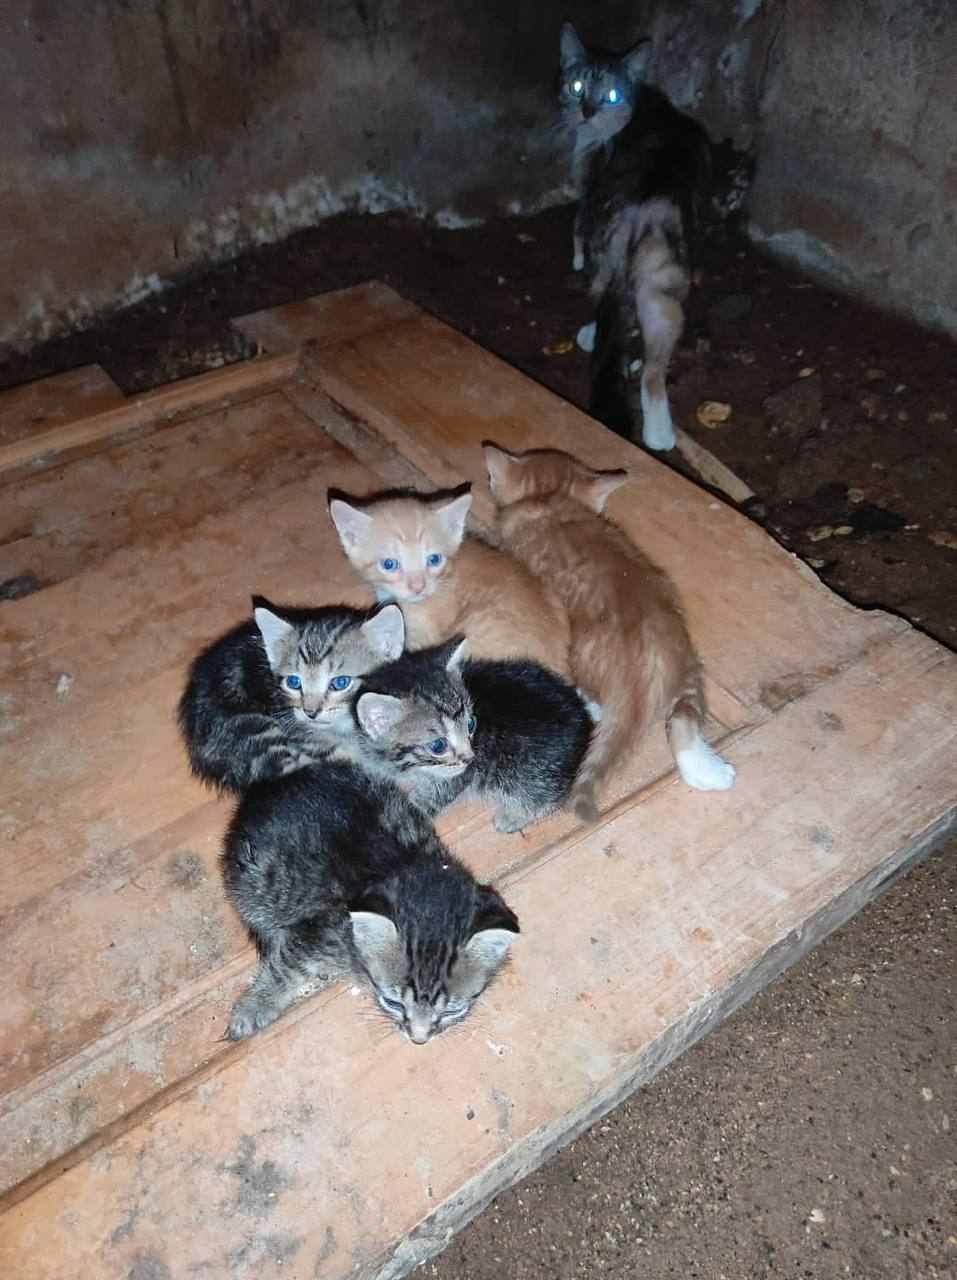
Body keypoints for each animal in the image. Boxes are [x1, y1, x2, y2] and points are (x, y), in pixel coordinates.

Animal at [222, 760, 519, 1043]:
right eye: (392, 1002)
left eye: (452, 1011)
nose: (419, 1039)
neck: (406, 864)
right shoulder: (321, 930)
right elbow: (286, 967)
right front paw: (254, 1007)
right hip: (253, 880)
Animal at [334, 636, 593, 832]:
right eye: (438, 746)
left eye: (470, 725)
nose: (470, 757)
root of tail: (582, 715)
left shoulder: (457, 778)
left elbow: (422, 804)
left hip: (525, 769)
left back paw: (515, 816)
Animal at [484, 443, 735, 821]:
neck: (549, 499)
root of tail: (645, 671)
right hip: (690, 670)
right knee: (683, 720)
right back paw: (709, 772)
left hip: (582, 657)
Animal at [558, 22, 711, 451]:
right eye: (577, 85)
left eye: (610, 95)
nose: (586, 110)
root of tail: (642, 209)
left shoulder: (588, 185)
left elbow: (576, 226)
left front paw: (574, 258)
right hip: (666, 283)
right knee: (653, 370)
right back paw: (659, 434)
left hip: (614, 254)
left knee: (603, 296)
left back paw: (589, 335)